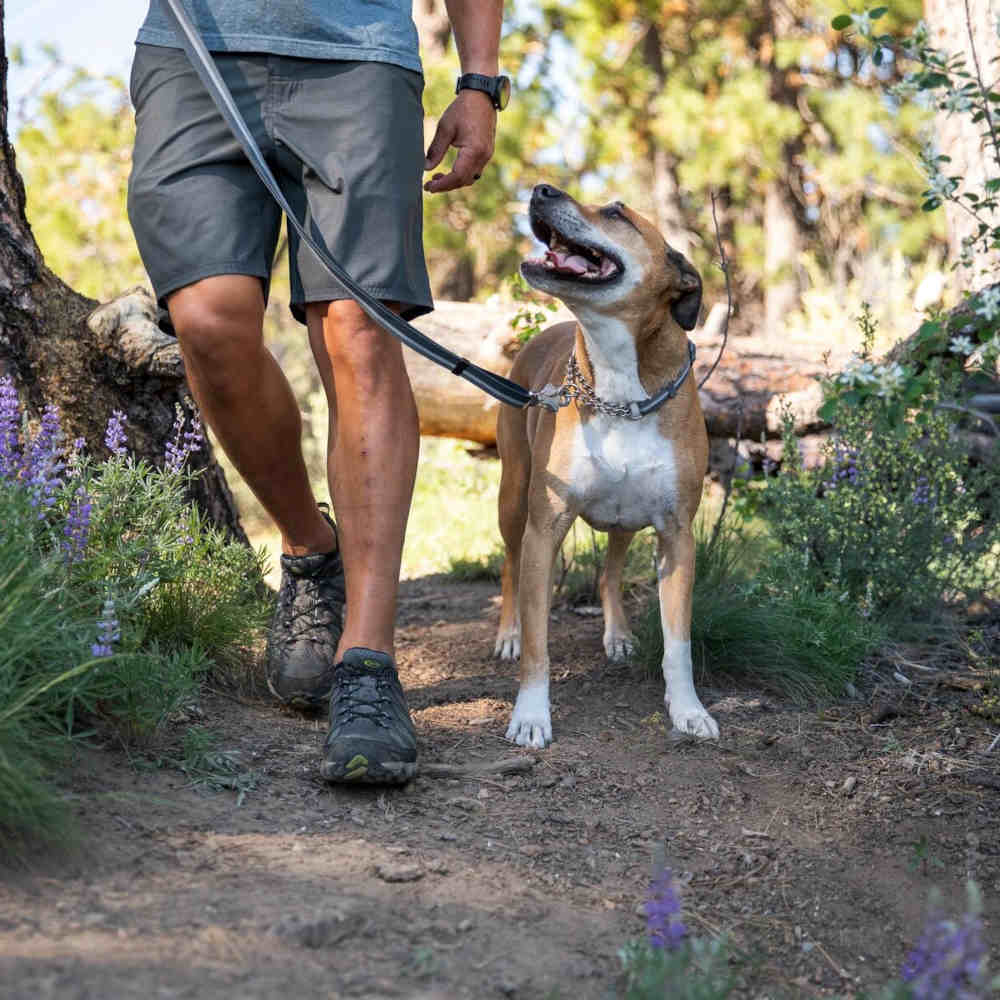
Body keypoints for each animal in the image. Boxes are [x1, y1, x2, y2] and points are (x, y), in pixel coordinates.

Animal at [494, 184, 720, 748]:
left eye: (617, 213)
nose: (541, 189)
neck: (621, 389)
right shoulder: (544, 530)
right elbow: (538, 642)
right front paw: (531, 715)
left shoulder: (677, 535)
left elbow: (678, 642)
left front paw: (687, 709)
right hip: (513, 497)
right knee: (508, 565)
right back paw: (507, 633)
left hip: (625, 519)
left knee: (610, 572)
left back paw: (617, 633)